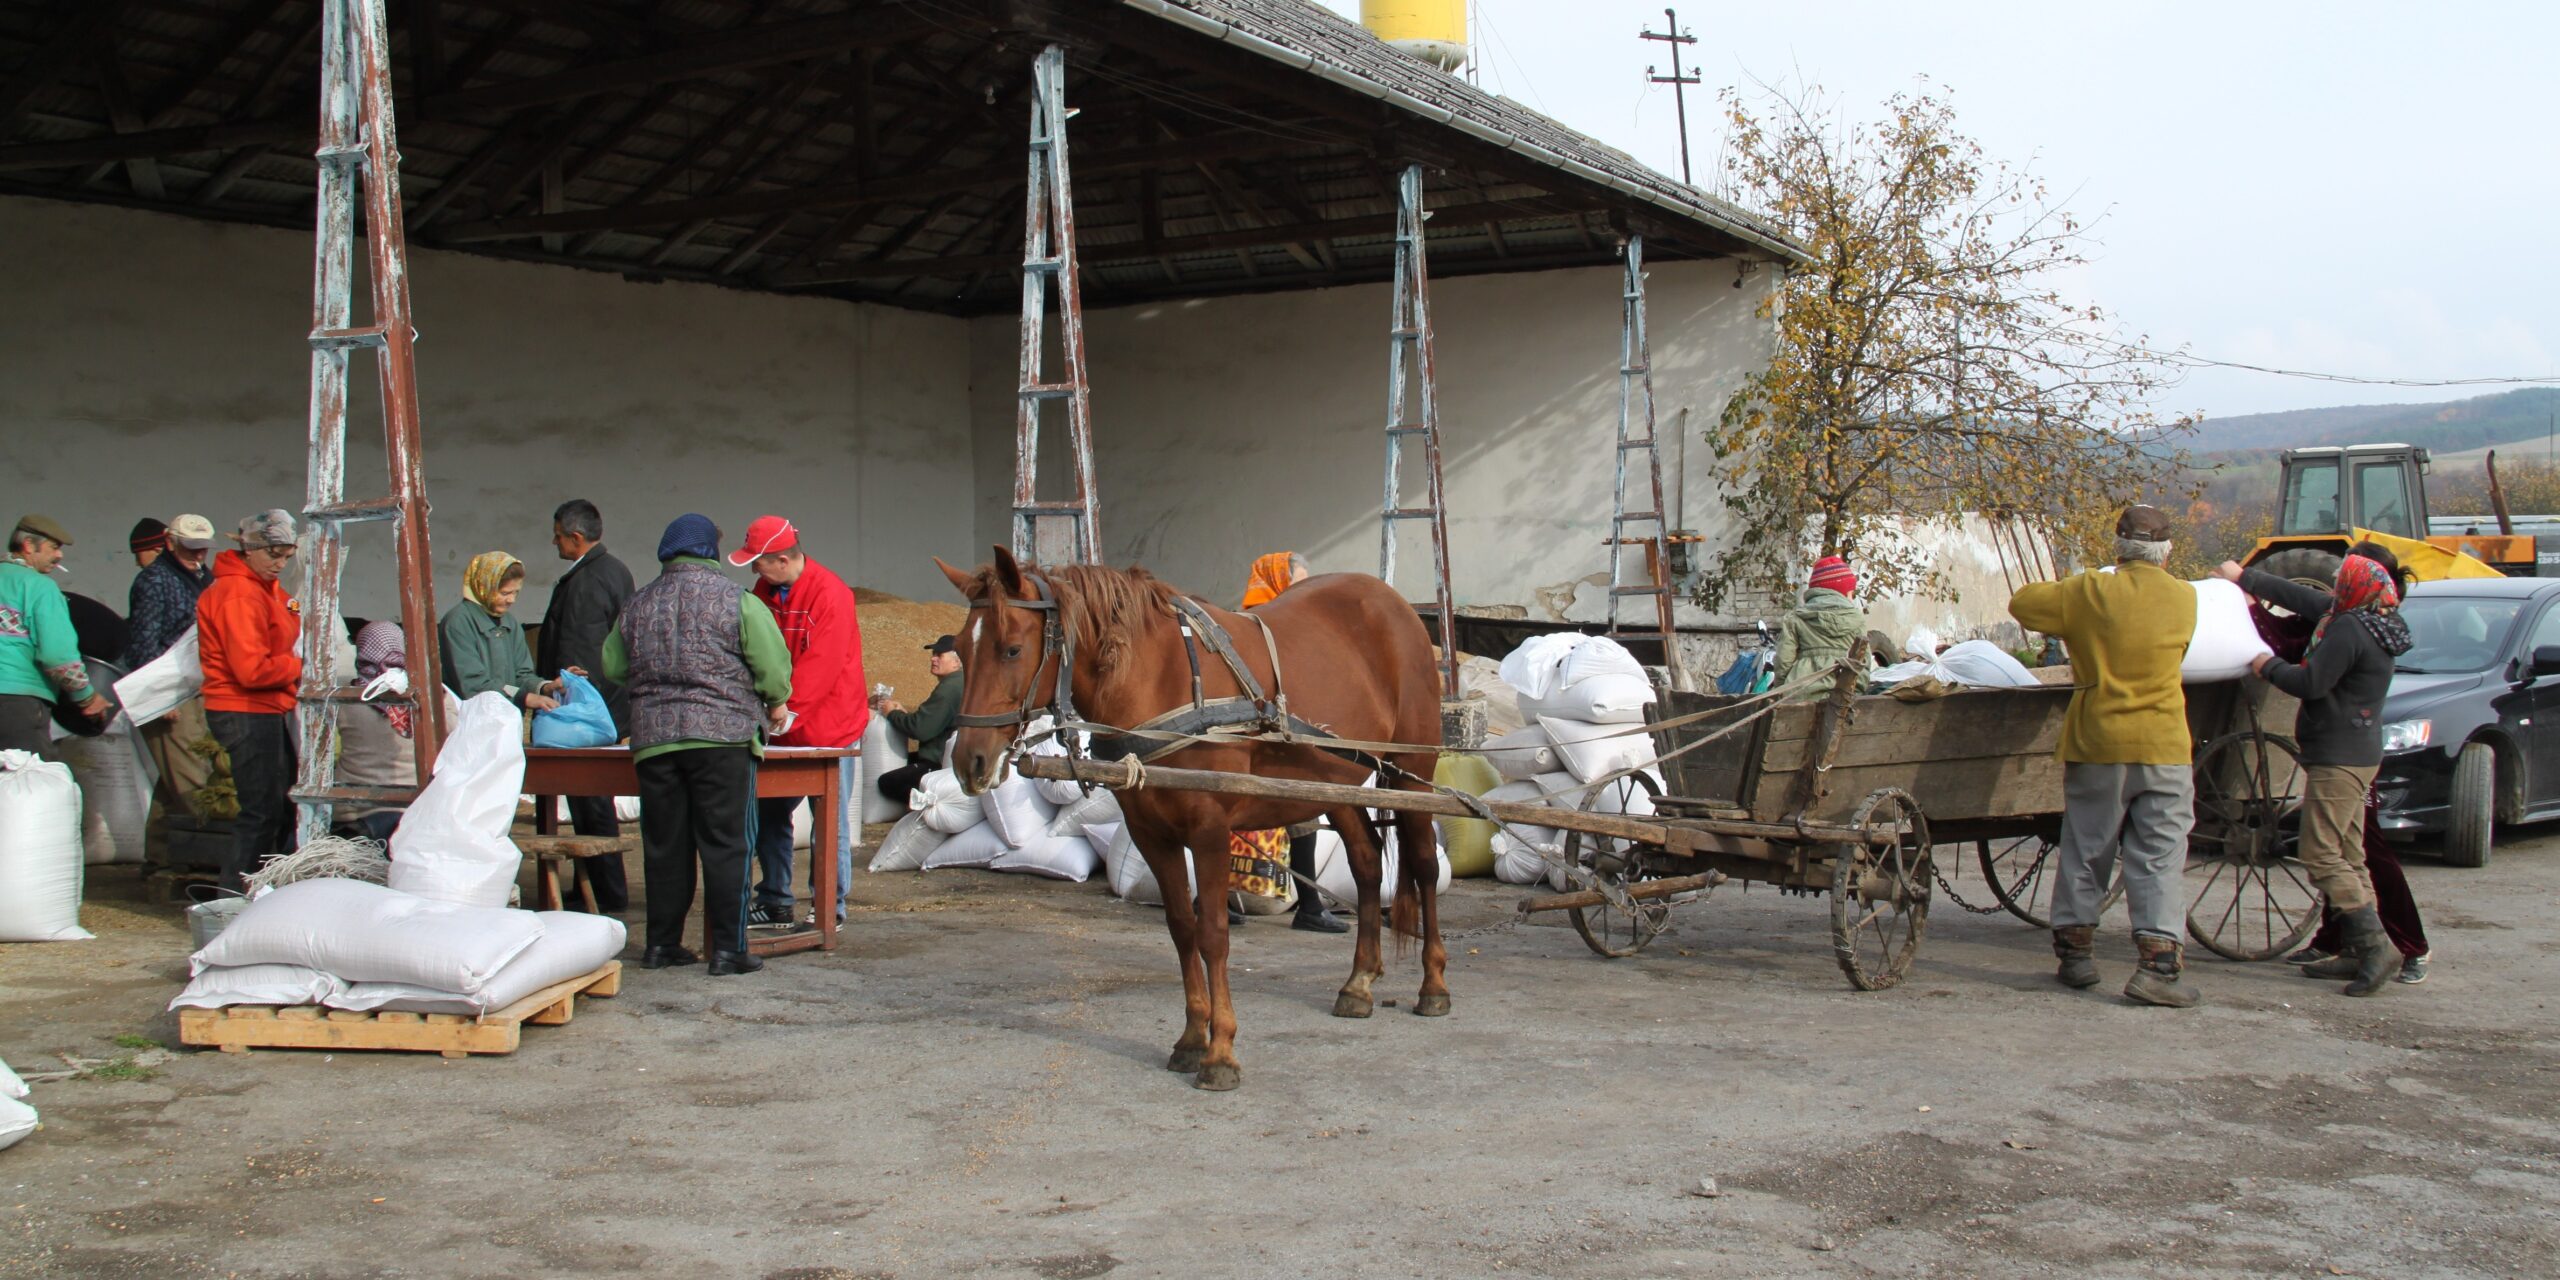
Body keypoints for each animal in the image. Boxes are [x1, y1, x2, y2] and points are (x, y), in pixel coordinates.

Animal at [942, 545, 1464, 1095]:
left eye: (1011, 650)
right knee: (1365, 862)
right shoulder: (1153, 836)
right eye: (962, 652)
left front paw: (1221, 1050)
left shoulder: (1211, 831)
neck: (1158, 677)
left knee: (1423, 866)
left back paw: (1434, 984)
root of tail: (1395, 604)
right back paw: (1360, 982)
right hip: (1332, 781)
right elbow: (1181, 929)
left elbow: (1213, 934)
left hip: (1411, 774)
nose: (970, 761)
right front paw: (1192, 1037)